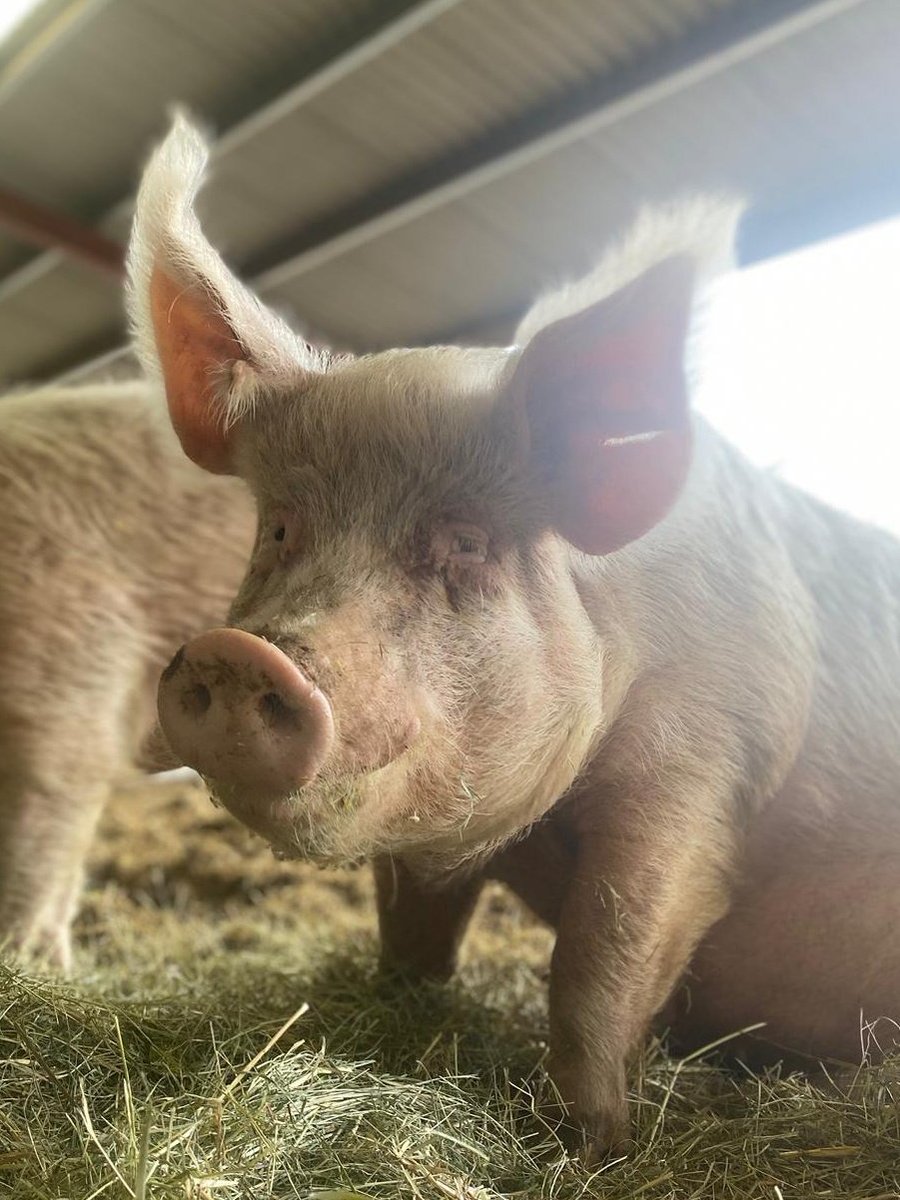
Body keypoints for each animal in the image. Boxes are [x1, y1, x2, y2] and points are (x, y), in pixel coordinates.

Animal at [133, 114, 900, 1158]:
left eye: (465, 543)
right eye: (282, 528)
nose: (243, 652)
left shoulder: (708, 755)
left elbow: (606, 949)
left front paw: (596, 1145)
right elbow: (411, 928)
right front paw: (394, 1010)